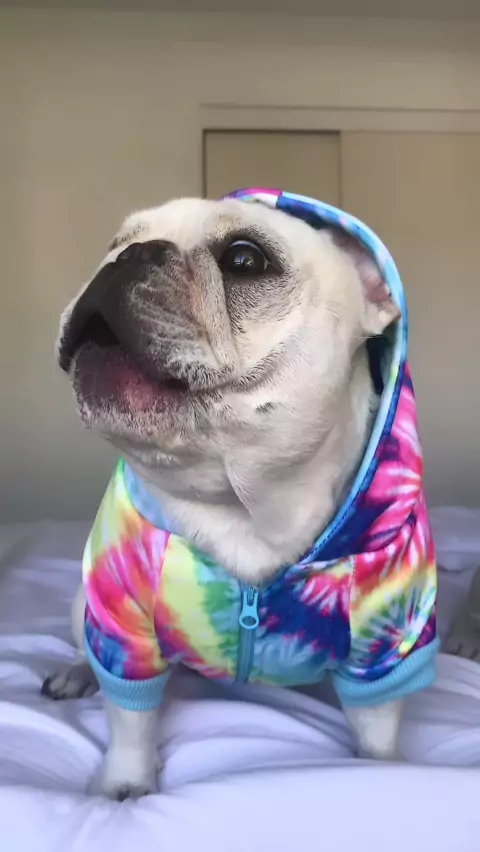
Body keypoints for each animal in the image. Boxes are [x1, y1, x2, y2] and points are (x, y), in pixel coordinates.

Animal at [42, 189, 439, 800]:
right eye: (116, 241)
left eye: (245, 259)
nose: (126, 255)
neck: (248, 508)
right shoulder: (121, 621)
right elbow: (130, 720)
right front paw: (124, 786)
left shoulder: (388, 634)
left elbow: (378, 724)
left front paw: (384, 769)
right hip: (83, 607)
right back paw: (76, 672)